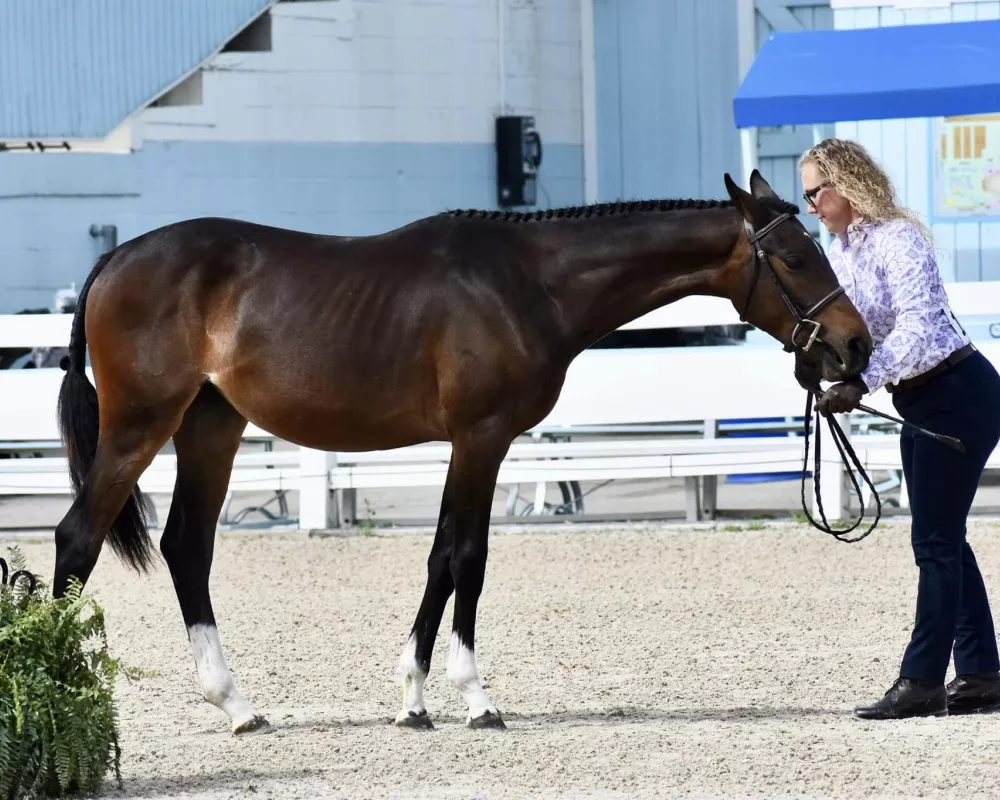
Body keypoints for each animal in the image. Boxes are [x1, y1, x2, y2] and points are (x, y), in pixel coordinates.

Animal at [50, 172, 872, 736]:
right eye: (794, 258)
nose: (855, 345)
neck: (529, 282)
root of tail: (117, 258)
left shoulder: (467, 443)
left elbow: (441, 557)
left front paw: (414, 698)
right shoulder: (482, 437)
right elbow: (468, 558)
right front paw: (475, 697)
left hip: (209, 429)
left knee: (187, 546)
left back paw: (236, 705)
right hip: (140, 427)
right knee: (77, 537)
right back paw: (60, 688)